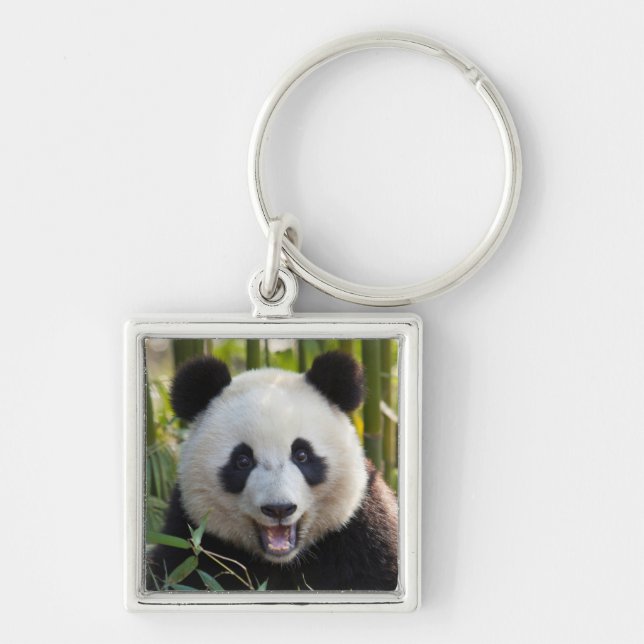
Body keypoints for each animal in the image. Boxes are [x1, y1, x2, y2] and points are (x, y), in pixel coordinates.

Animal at [149, 350, 398, 591]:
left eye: (301, 455)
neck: (282, 562)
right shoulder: (190, 543)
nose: (279, 509)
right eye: (242, 460)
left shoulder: (363, 535)